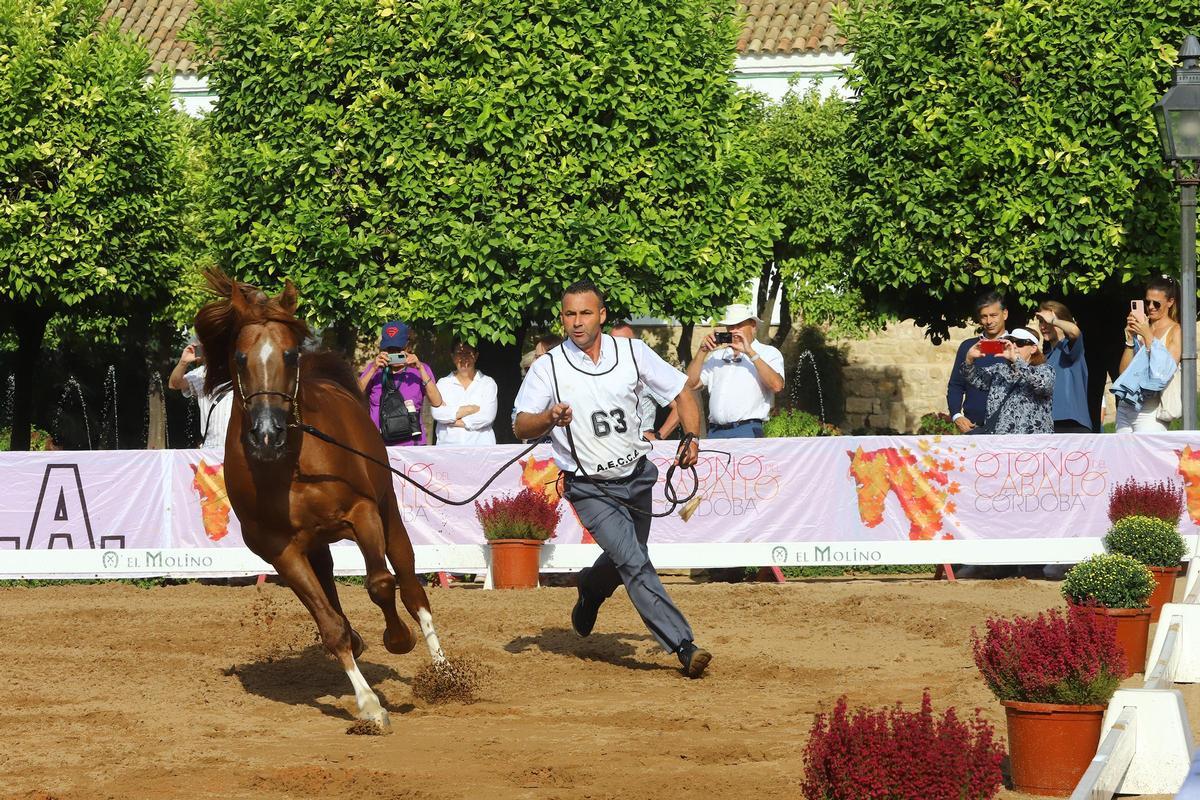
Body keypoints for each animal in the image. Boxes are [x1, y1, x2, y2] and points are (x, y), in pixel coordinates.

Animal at [194, 269, 445, 732]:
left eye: (290, 355)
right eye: (240, 358)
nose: (267, 433)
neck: (291, 466)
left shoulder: (363, 513)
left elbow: (380, 584)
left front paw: (397, 639)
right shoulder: (281, 550)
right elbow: (329, 625)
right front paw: (368, 704)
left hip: (390, 516)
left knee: (411, 587)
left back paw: (444, 672)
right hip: (316, 544)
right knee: (330, 585)